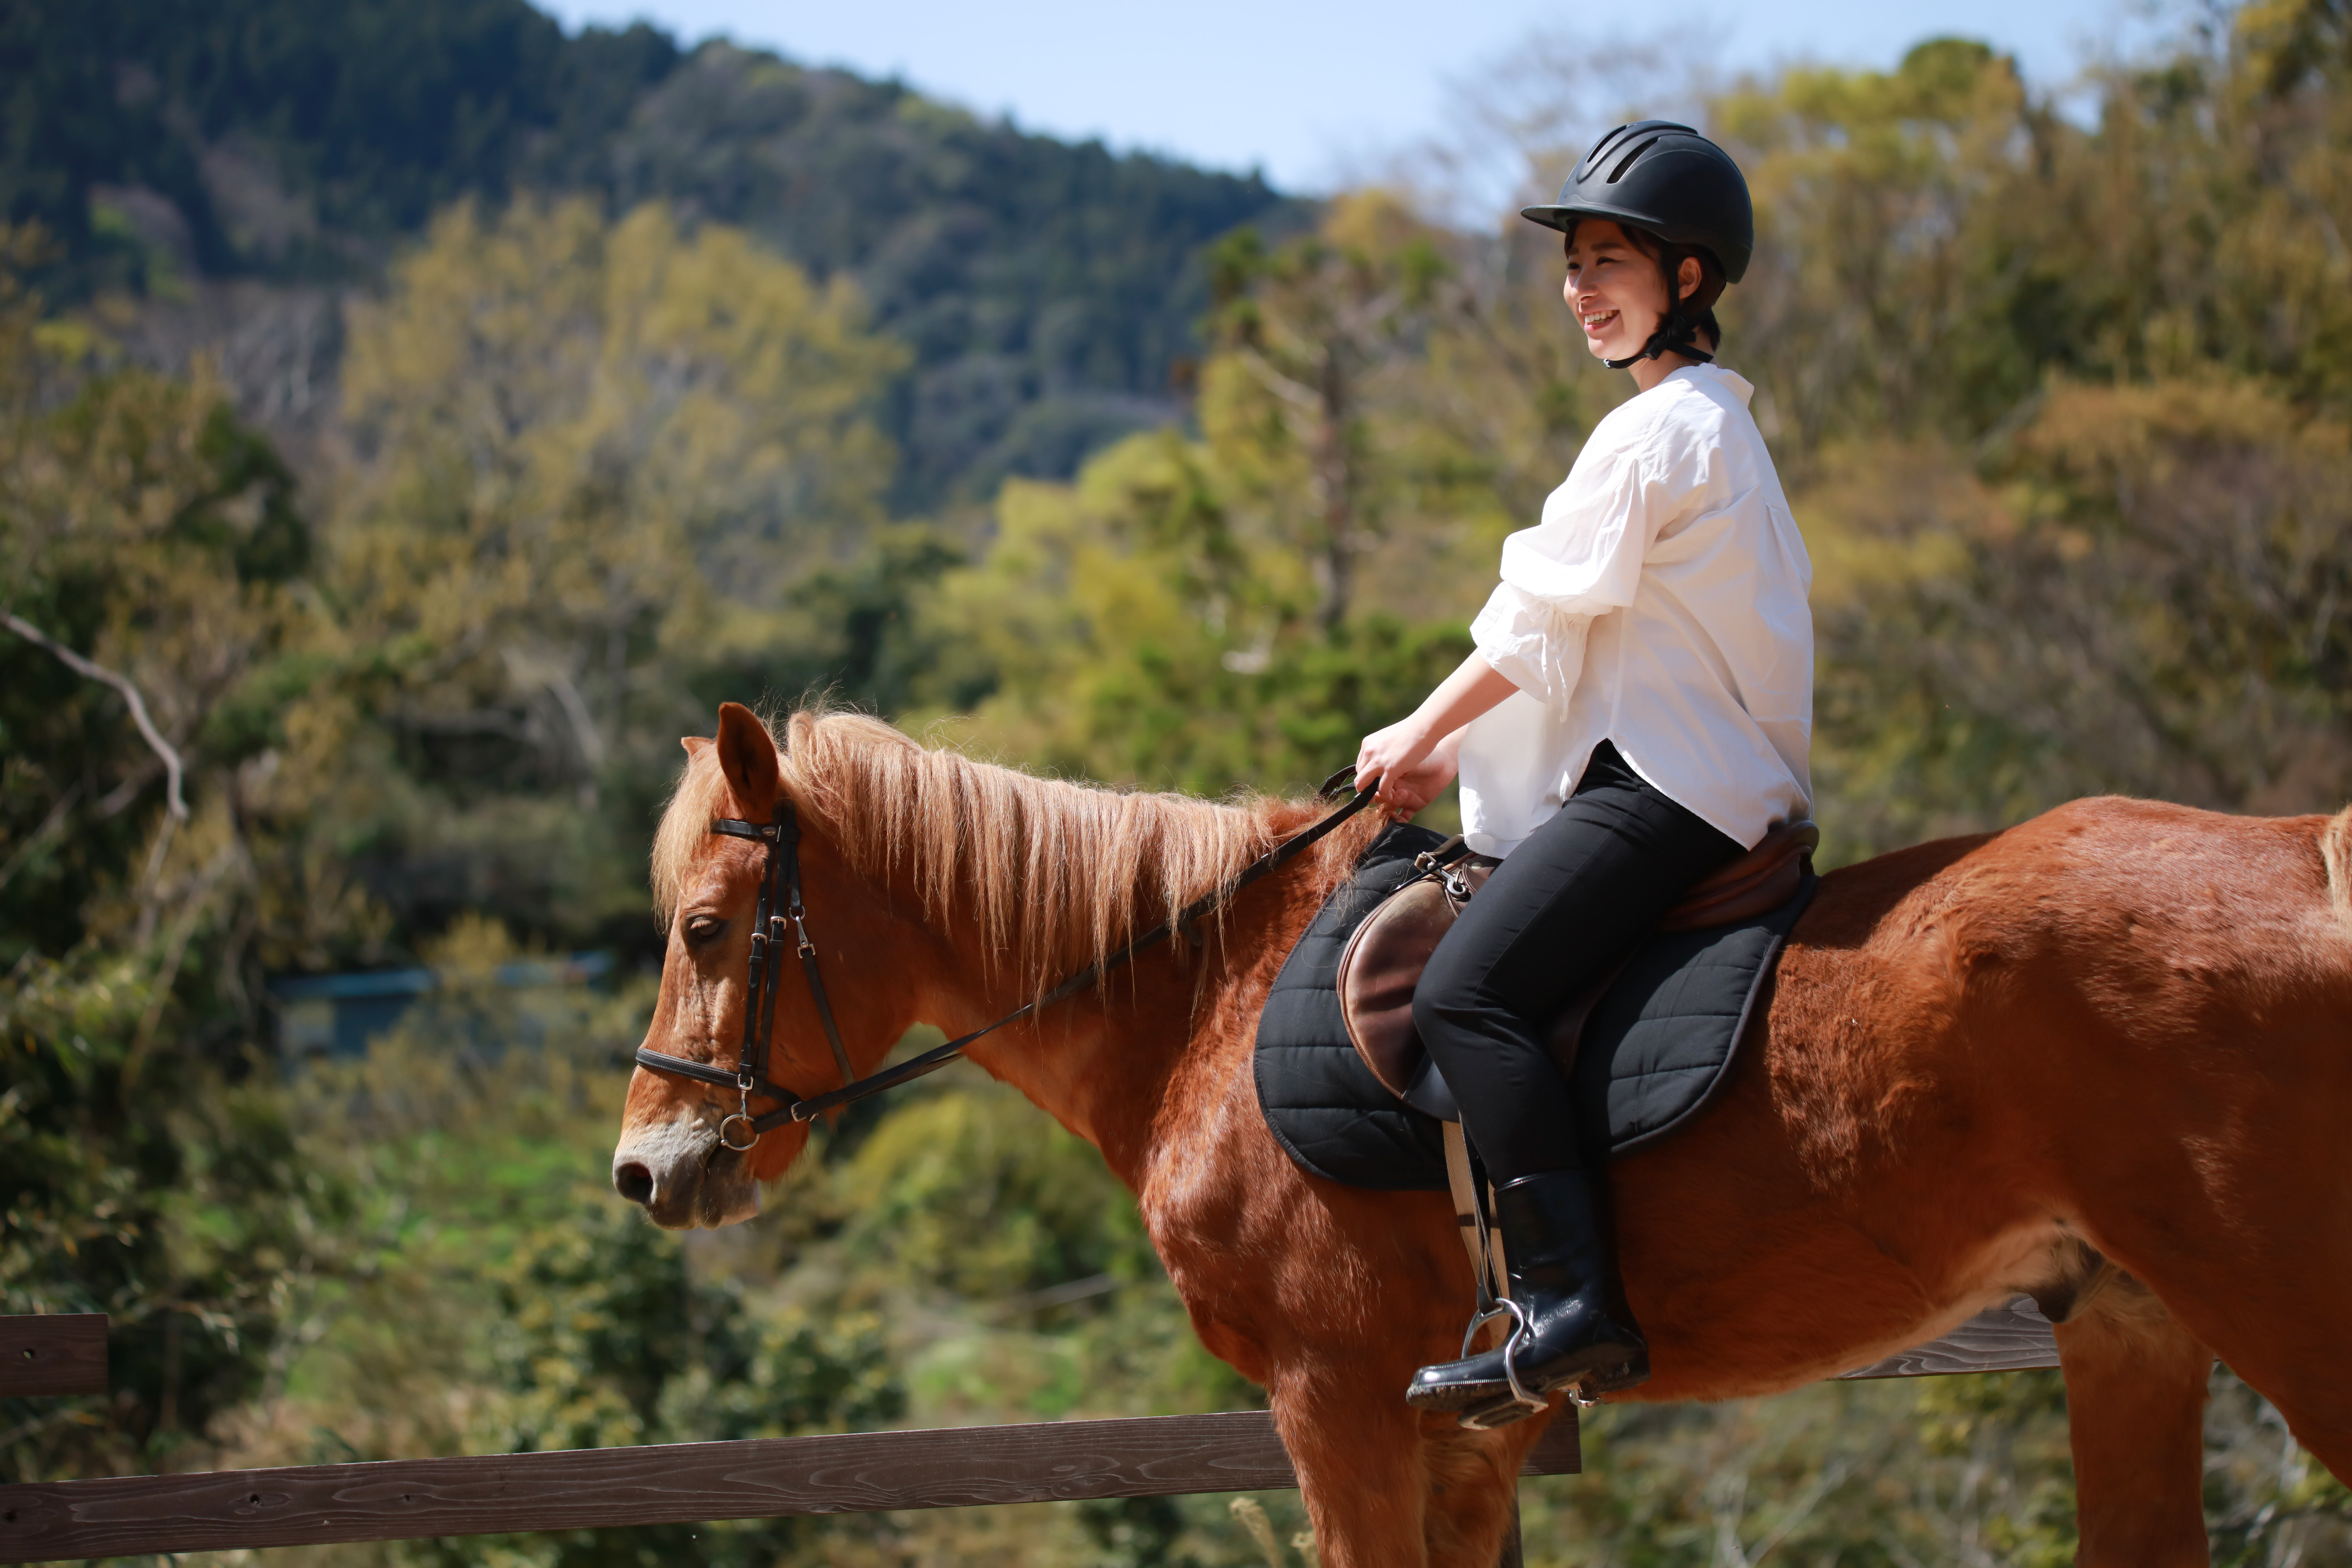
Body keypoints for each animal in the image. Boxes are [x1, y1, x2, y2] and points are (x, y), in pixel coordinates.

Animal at [611, 702, 2352, 1567]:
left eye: (705, 928)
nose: (645, 1168)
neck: (1203, 993)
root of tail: (2313, 856)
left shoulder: (1336, 1405)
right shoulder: (1468, 1432)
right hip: (2127, 1323)